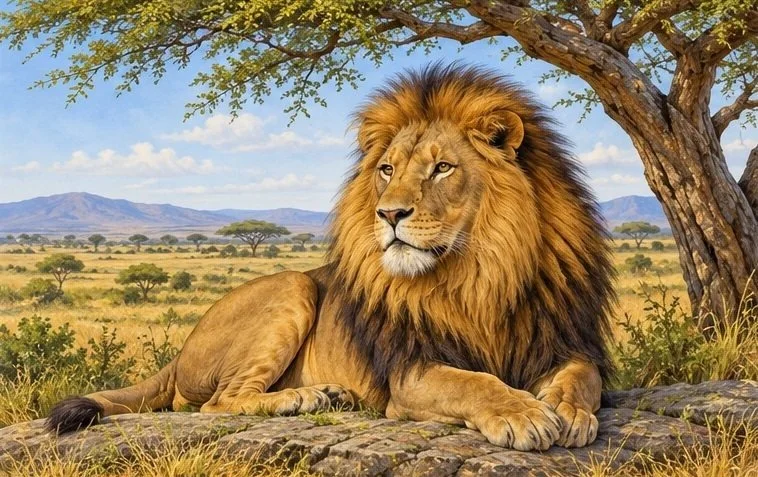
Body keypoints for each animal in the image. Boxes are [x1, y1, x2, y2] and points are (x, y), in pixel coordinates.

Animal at [48, 63, 615, 451]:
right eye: (387, 169)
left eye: (443, 168)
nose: (389, 214)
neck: (480, 273)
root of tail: (181, 350)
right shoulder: (408, 374)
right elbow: (472, 381)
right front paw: (522, 413)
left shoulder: (562, 341)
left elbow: (581, 378)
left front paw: (566, 411)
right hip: (292, 286)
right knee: (215, 403)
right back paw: (305, 397)